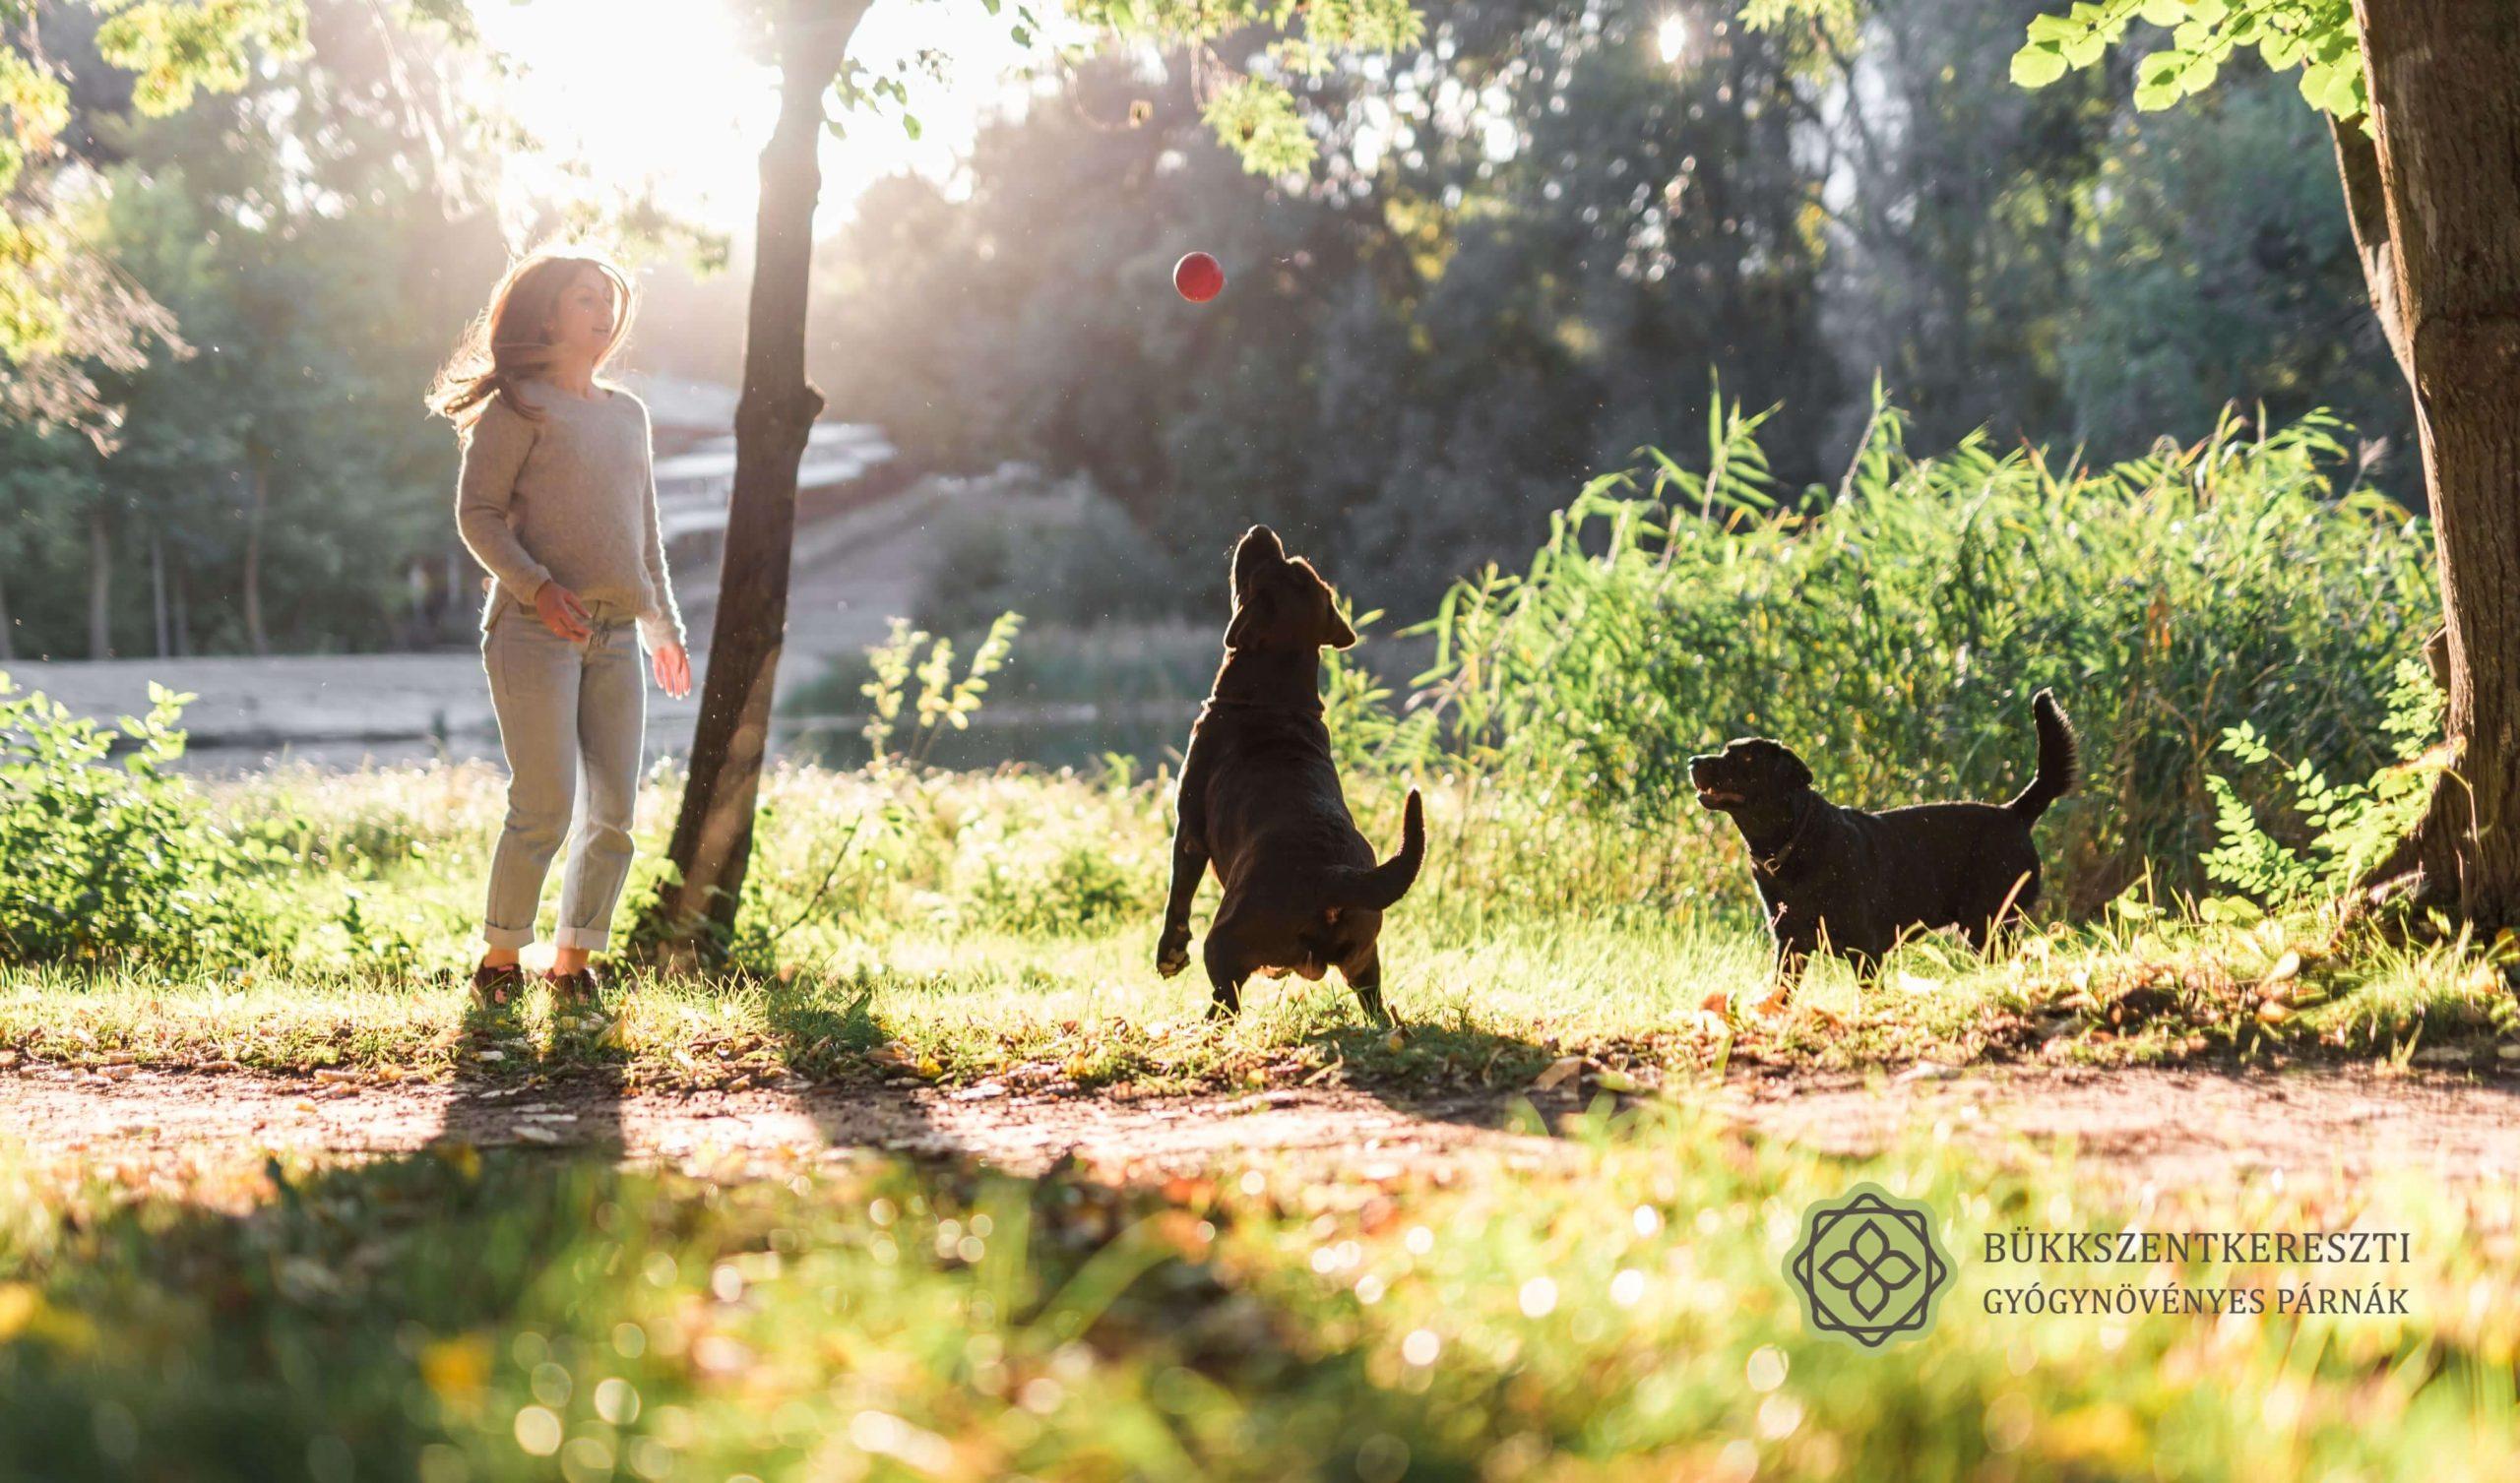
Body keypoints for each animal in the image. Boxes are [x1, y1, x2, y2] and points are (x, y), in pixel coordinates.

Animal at [1154, 525, 1431, 1021]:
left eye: (1271, 568)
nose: (1261, 531)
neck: (1273, 694)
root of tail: (1332, 875)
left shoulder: (1189, 829)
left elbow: (1178, 893)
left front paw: (1170, 952)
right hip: (1366, 952)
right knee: (1374, 1001)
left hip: (1226, 938)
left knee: (1227, 998)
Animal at [1683, 690, 2076, 1012]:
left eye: (1745, 759)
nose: (1692, 761)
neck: (1797, 841)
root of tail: (2014, 812)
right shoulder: (1789, 947)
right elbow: (1781, 994)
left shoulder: (1866, 951)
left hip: (1990, 924)